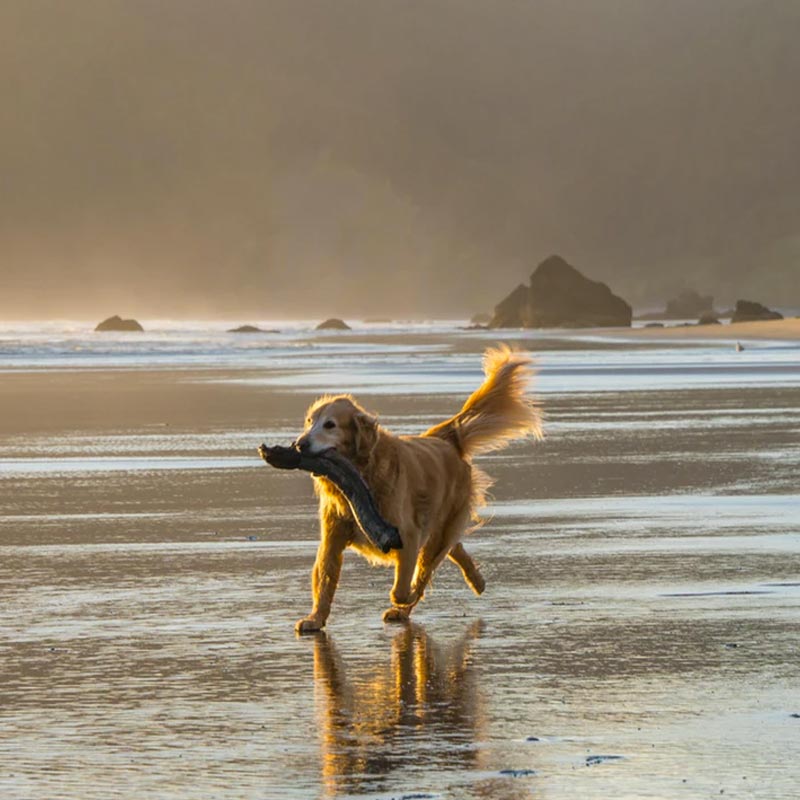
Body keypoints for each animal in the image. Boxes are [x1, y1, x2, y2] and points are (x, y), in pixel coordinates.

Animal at [290, 344, 540, 632]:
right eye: (309, 421)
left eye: (330, 424)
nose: (300, 444)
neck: (363, 476)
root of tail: (444, 438)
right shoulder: (332, 538)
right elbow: (324, 579)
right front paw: (315, 618)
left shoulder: (407, 535)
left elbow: (402, 587)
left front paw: (404, 598)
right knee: (452, 548)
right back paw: (476, 579)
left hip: (439, 526)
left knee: (431, 561)